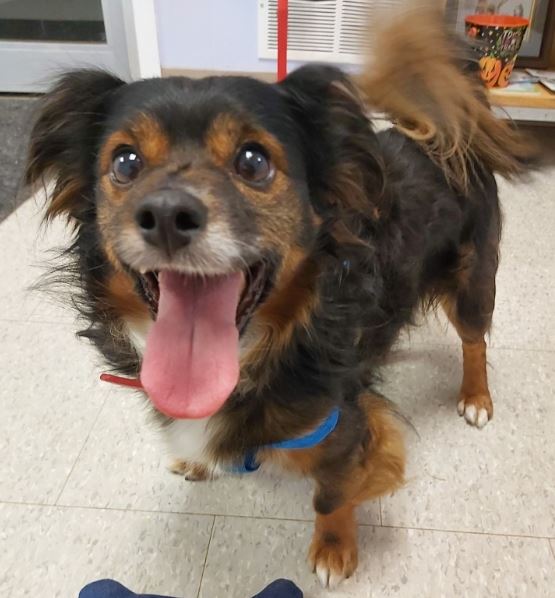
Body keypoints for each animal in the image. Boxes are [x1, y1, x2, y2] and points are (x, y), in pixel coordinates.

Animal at [24, 9, 533, 588]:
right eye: (126, 163)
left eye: (253, 160)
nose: (167, 216)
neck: (265, 346)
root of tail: (443, 136)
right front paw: (198, 460)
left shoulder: (348, 421)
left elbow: (331, 493)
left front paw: (334, 550)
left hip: (472, 283)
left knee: (476, 341)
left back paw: (476, 397)